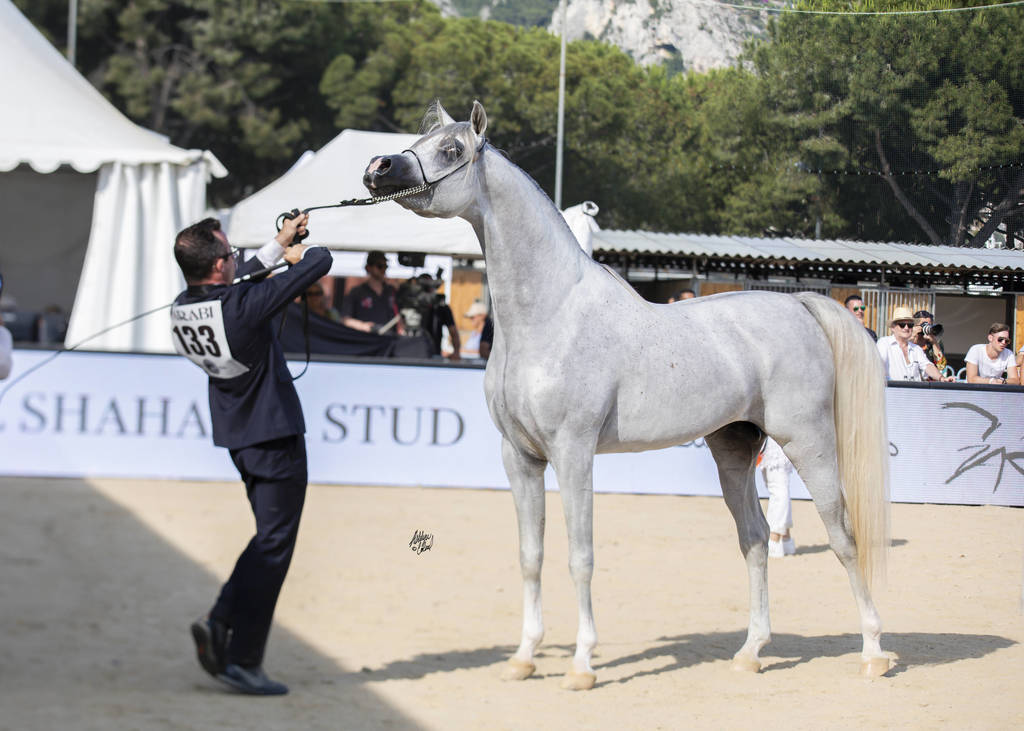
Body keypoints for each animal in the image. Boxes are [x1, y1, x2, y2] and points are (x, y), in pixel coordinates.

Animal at [363, 101, 892, 690]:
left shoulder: (573, 453)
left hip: (809, 441)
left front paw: (582, 665)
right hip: (733, 448)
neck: (551, 317)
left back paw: (873, 652)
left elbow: (580, 556)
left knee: (844, 536)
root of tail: (800, 303)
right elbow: (530, 555)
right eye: (419, 140)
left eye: (452, 149)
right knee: (754, 539)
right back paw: (751, 651)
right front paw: (524, 657)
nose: (378, 168)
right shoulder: (520, 457)